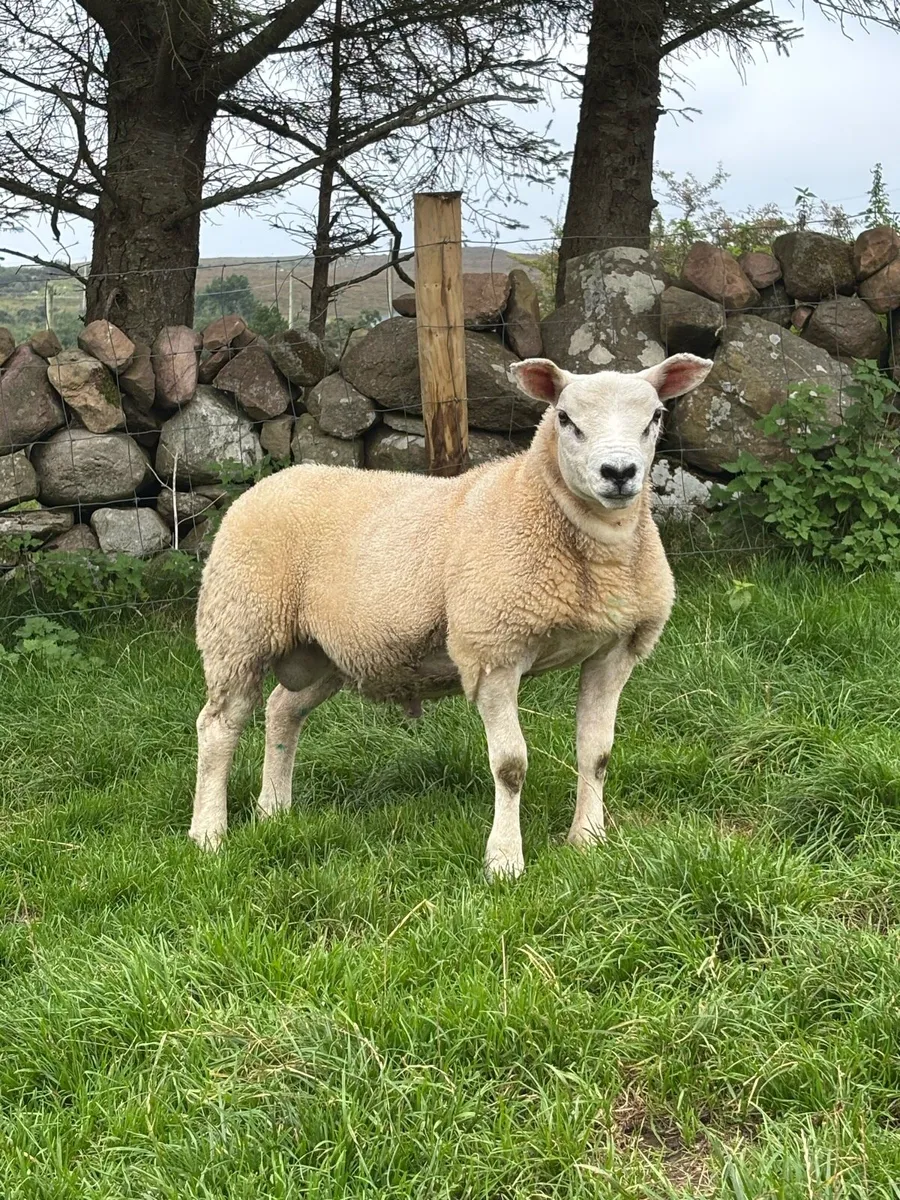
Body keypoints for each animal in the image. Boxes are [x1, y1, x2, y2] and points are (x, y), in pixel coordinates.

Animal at [189, 352, 714, 877]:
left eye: (655, 417)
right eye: (565, 418)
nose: (618, 472)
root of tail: (275, 480)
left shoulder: (615, 649)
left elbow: (597, 753)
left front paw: (588, 840)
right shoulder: (492, 650)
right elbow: (510, 765)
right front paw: (504, 861)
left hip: (327, 651)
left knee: (282, 711)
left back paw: (273, 810)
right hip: (238, 624)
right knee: (219, 725)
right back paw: (209, 833)